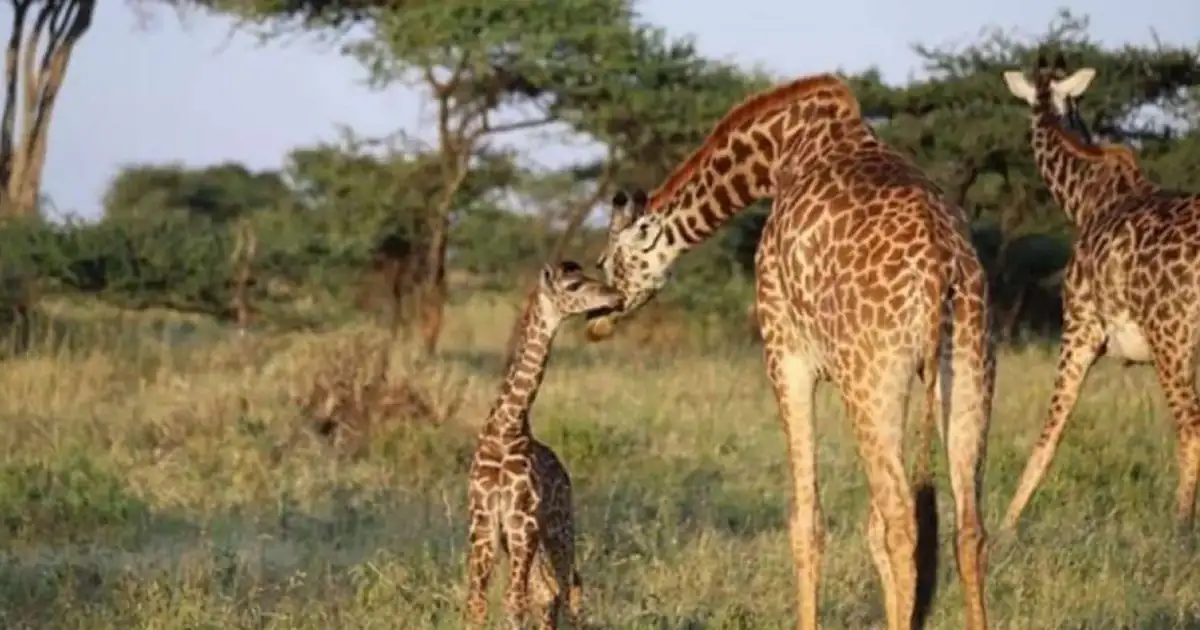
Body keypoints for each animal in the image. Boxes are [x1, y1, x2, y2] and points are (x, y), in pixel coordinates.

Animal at [464, 260, 623, 630]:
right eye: (575, 285)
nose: (616, 295)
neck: (505, 428)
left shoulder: (522, 524)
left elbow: (514, 602)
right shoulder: (484, 525)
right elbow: (477, 603)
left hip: (558, 528)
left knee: (569, 585)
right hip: (528, 538)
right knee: (548, 592)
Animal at [588, 74, 995, 630]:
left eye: (609, 262)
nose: (595, 320)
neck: (781, 150)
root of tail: (940, 269)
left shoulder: (786, 354)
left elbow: (807, 523)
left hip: (872, 381)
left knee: (901, 521)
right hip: (969, 364)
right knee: (967, 527)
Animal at [1000, 52, 1200, 532]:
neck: (1084, 197)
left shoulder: (1079, 327)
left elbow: (1049, 432)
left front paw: (1005, 526)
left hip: (1171, 338)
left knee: (1191, 427)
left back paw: (1180, 528)